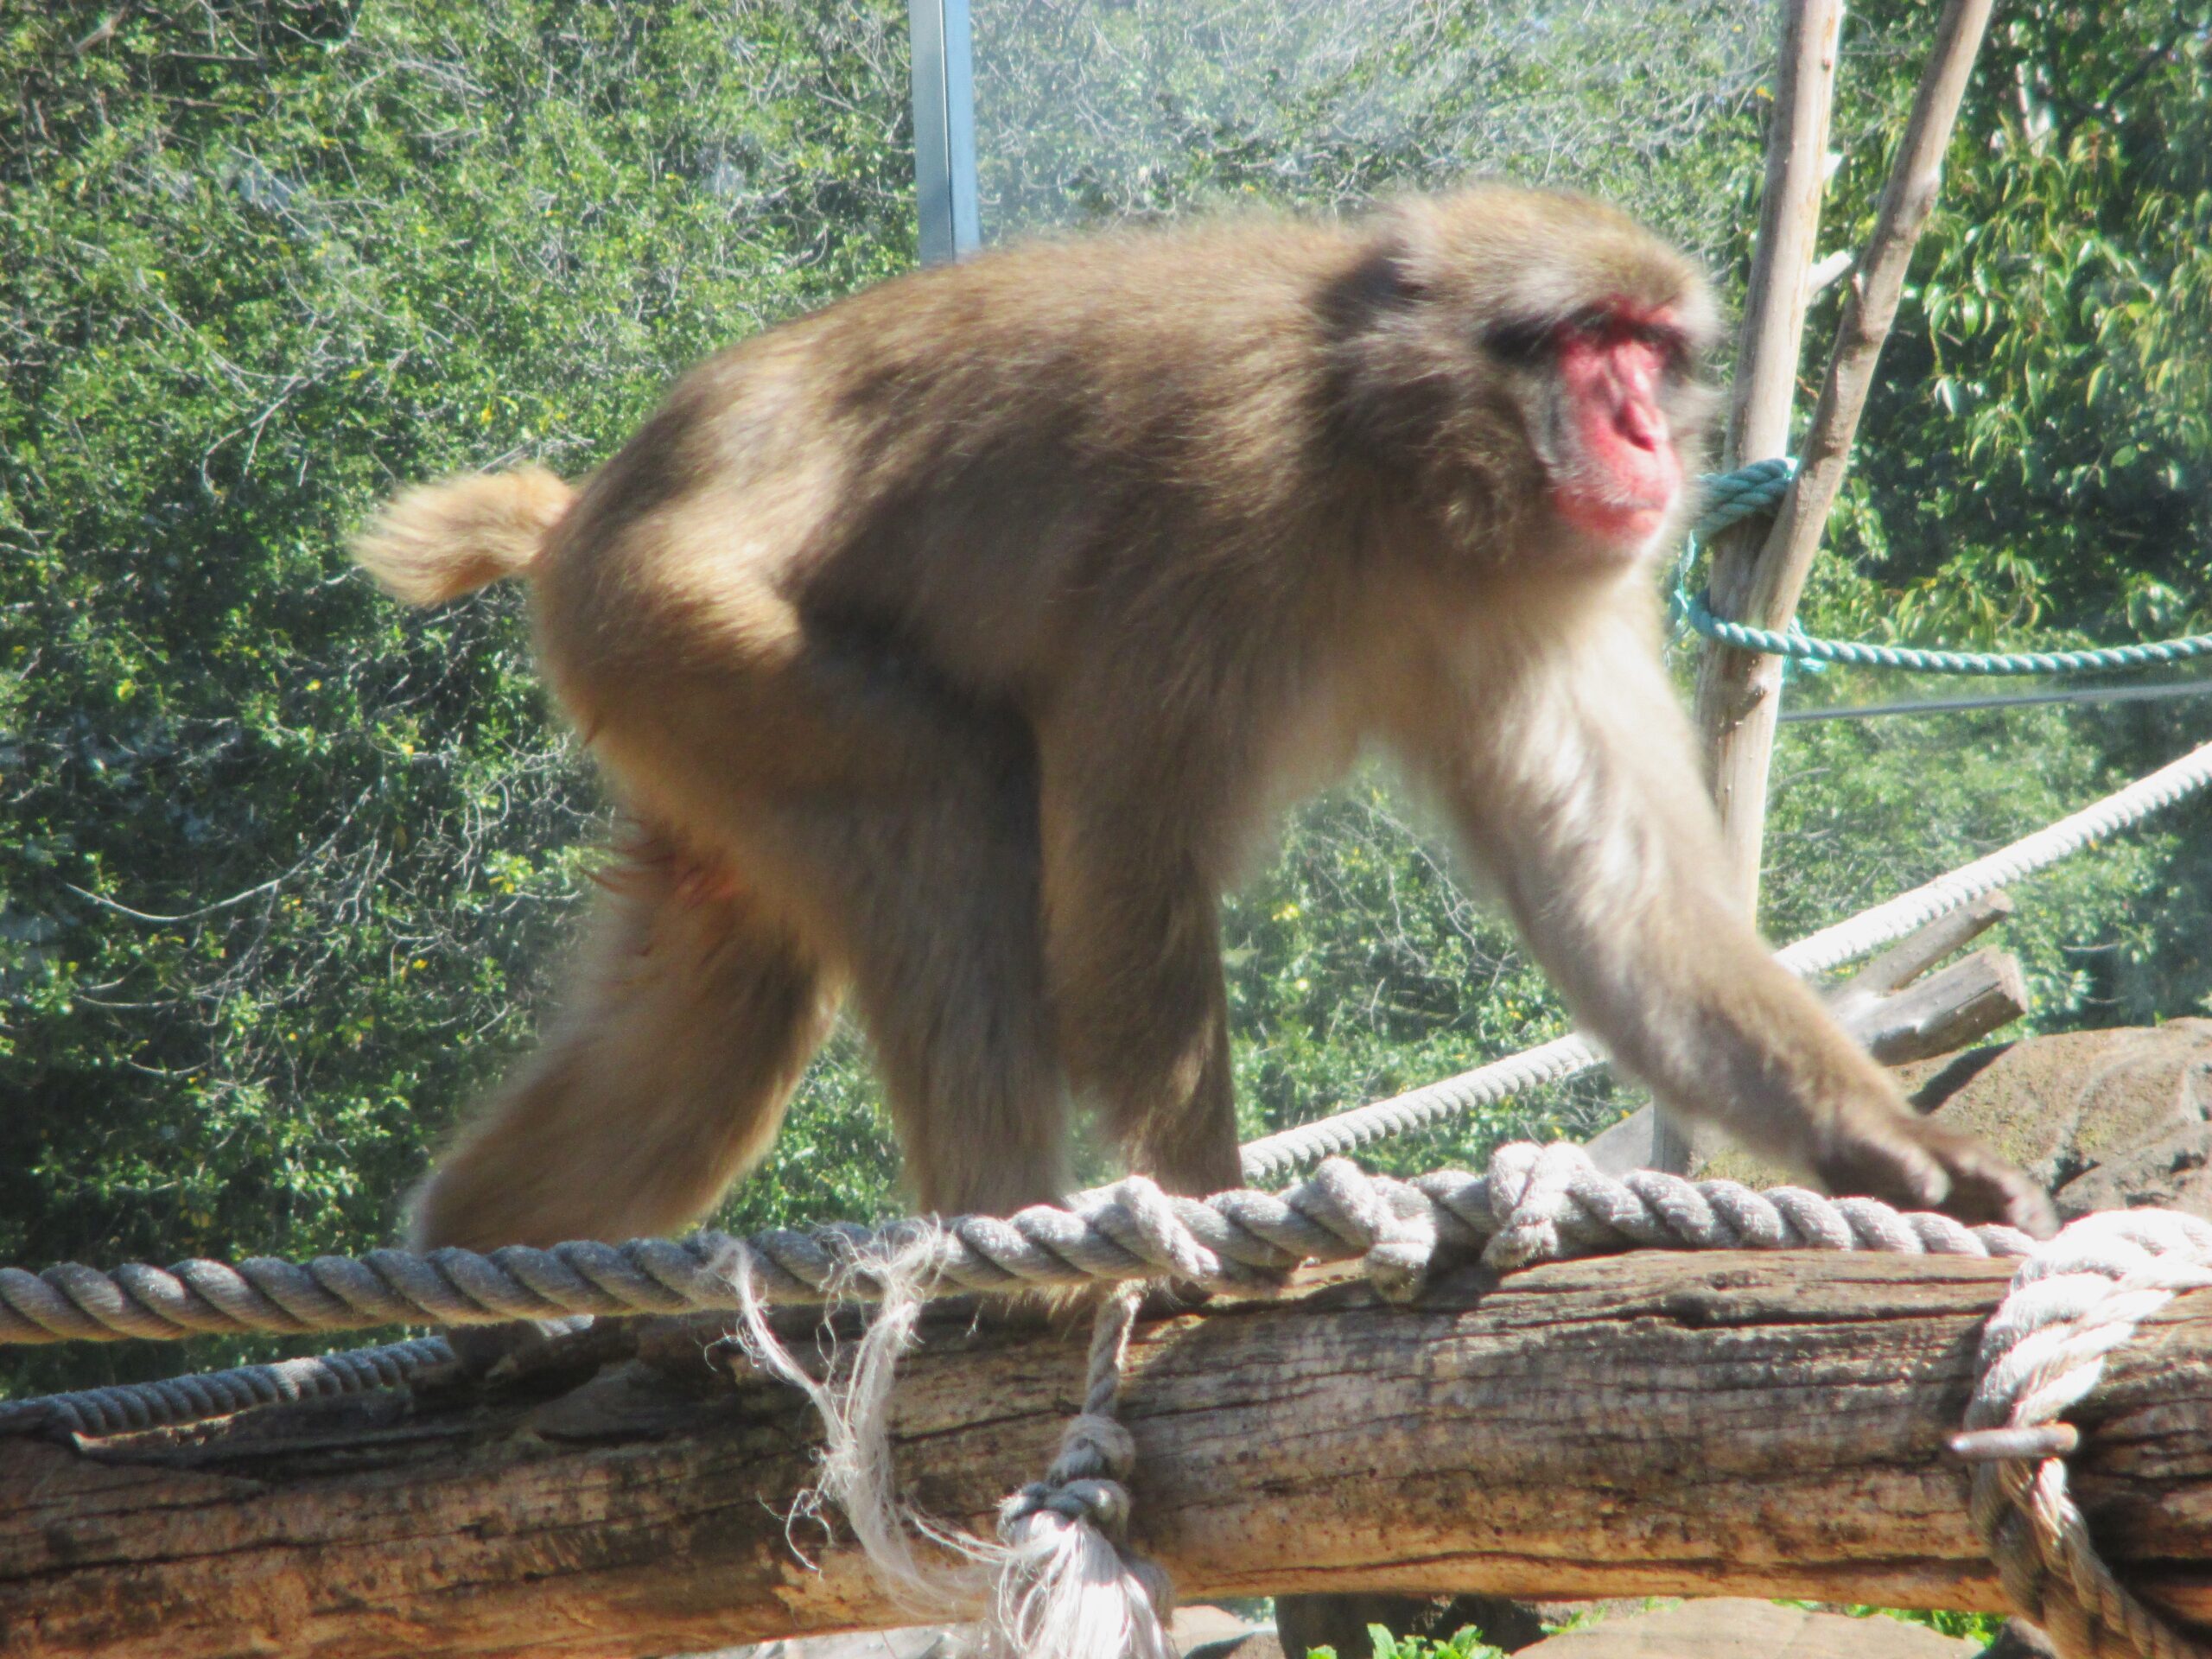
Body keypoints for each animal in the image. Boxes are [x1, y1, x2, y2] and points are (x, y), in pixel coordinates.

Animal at [349, 184, 2052, 1247]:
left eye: (1650, 347)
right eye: (1587, 345)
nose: (1646, 433)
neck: (1392, 472)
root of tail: (585, 514)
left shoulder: (1548, 602)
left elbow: (1624, 916)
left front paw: (1885, 1144)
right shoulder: (1220, 511)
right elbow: (1120, 894)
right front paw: (1219, 1215)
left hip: (655, 695)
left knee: (732, 997)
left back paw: (477, 1273)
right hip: (677, 620)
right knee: (942, 796)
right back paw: (1007, 1244)